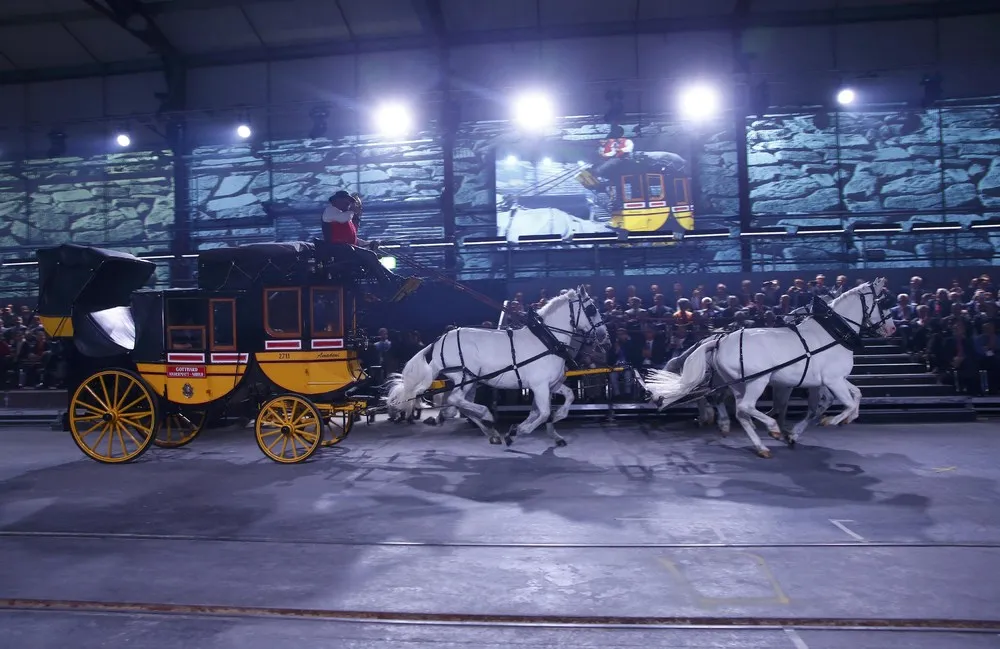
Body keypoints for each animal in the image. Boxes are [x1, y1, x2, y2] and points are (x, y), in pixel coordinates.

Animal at [384, 288, 604, 446]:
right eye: (592, 308)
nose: (604, 334)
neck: (547, 340)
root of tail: (438, 341)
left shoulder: (552, 384)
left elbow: (567, 398)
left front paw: (556, 427)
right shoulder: (539, 386)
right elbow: (542, 412)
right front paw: (516, 432)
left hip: (470, 381)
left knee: (458, 405)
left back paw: (488, 431)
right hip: (464, 377)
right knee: (456, 400)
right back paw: (487, 416)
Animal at [644, 278, 896, 456]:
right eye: (883, 303)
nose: (893, 329)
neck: (832, 334)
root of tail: (719, 340)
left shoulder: (836, 380)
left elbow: (857, 395)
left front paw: (844, 419)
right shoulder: (832, 381)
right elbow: (844, 403)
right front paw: (831, 421)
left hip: (738, 384)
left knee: (741, 412)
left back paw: (760, 446)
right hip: (757, 381)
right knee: (744, 407)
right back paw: (771, 429)